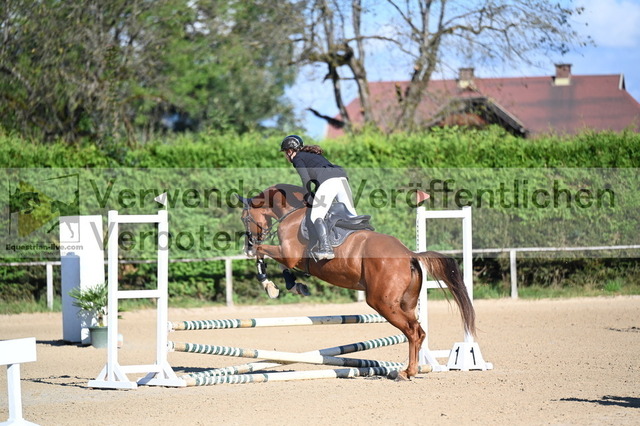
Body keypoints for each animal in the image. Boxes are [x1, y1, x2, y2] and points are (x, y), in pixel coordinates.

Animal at [238, 184, 475, 380]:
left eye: (245, 218)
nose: (247, 243)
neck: (292, 212)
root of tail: (409, 254)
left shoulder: (288, 254)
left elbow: (262, 252)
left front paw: (269, 285)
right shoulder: (290, 257)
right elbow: (275, 261)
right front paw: (292, 285)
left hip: (382, 303)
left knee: (412, 331)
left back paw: (405, 372)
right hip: (405, 304)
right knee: (419, 331)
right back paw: (411, 370)